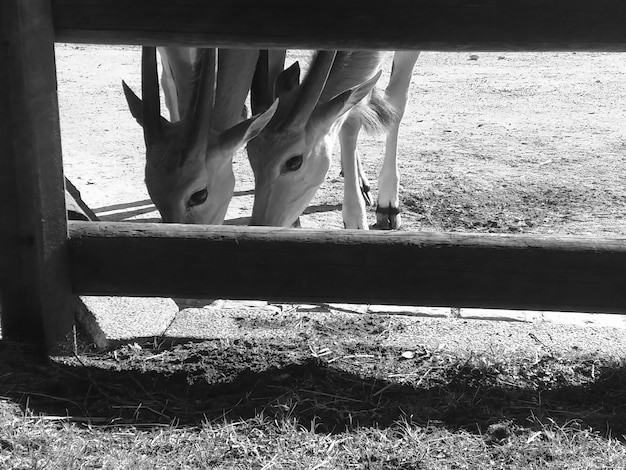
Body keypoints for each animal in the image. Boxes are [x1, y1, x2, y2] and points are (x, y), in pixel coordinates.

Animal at [246, 48, 416, 229]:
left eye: (294, 162)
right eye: (250, 153)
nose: (261, 224)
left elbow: (396, 102)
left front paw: (387, 207)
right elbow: (350, 118)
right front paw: (355, 218)